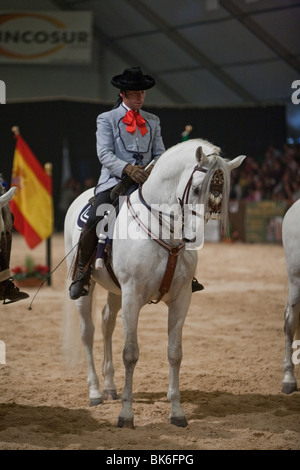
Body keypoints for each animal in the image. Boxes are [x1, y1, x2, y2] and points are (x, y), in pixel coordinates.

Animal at [63, 138, 246, 428]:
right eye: (197, 188)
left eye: (223, 190)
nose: (194, 236)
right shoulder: (132, 297)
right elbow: (130, 353)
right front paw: (126, 415)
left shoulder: (181, 299)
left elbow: (174, 353)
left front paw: (177, 412)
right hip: (87, 289)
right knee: (88, 332)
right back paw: (95, 392)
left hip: (115, 291)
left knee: (106, 323)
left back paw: (110, 387)